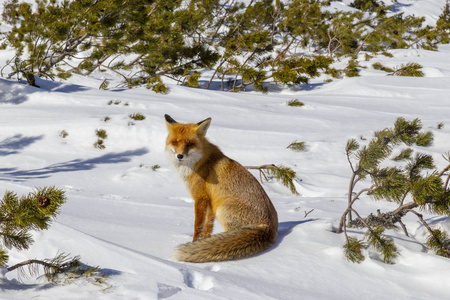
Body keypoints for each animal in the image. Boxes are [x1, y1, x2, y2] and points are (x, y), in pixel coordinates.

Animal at [164, 115, 278, 262]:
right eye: (175, 142)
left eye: (189, 144)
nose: (179, 156)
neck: (200, 162)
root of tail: (268, 227)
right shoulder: (210, 201)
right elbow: (208, 226)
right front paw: (203, 241)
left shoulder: (200, 197)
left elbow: (198, 226)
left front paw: (194, 242)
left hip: (222, 209)